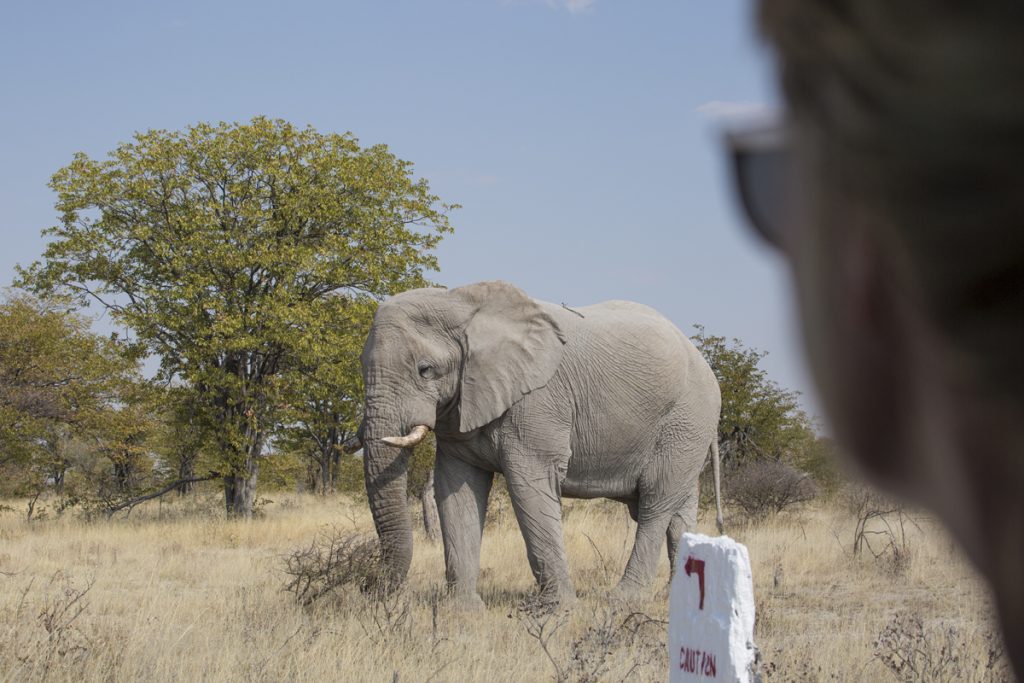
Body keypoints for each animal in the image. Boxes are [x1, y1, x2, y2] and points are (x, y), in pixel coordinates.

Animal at [356, 280, 724, 606]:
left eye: (425, 370)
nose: (367, 586)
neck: (460, 301)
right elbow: (456, 489)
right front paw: (461, 610)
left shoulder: (539, 402)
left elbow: (528, 484)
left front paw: (559, 609)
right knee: (679, 511)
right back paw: (681, 602)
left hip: (685, 421)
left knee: (655, 504)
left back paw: (623, 600)